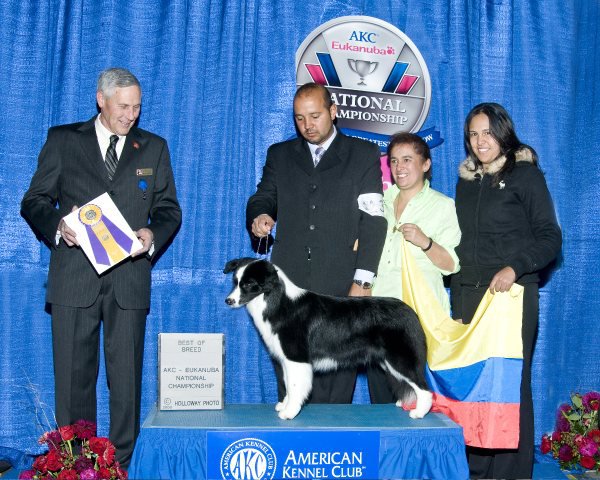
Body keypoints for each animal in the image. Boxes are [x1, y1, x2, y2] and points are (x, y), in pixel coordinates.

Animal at [224, 258, 432, 420]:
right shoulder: (286, 360)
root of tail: (411, 313)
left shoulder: (296, 357)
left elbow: (294, 386)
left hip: (400, 357)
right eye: (235, 282)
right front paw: (284, 405)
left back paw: (419, 413)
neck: (277, 303)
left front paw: (289, 412)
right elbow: (287, 384)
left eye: (248, 284)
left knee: (424, 388)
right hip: (388, 362)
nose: (228, 301)